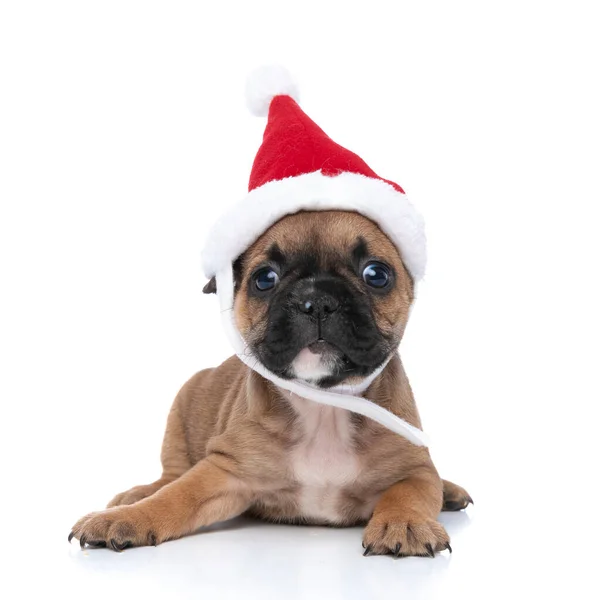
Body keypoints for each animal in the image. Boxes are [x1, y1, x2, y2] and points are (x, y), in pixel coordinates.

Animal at [70, 211, 472, 556]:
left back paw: (449, 490)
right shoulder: (224, 470)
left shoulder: (413, 469)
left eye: (376, 274)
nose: (317, 300)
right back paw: (135, 496)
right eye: (265, 278)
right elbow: (176, 496)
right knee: (170, 476)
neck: (325, 404)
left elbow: (409, 493)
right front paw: (125, 519)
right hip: (181, 411)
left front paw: (406, 523)